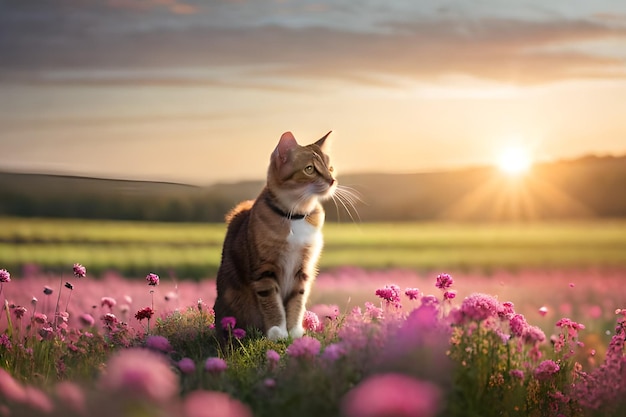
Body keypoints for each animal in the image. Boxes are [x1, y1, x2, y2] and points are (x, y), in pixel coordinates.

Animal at [211, 132, 336, 340]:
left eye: (330, 168)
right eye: (309, 169)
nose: (332, 180)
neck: (295, 214)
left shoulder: (303, 268)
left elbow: (297, 300)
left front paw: (294, 331)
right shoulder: (264, 270)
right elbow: (271, 302)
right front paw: (278, 331)